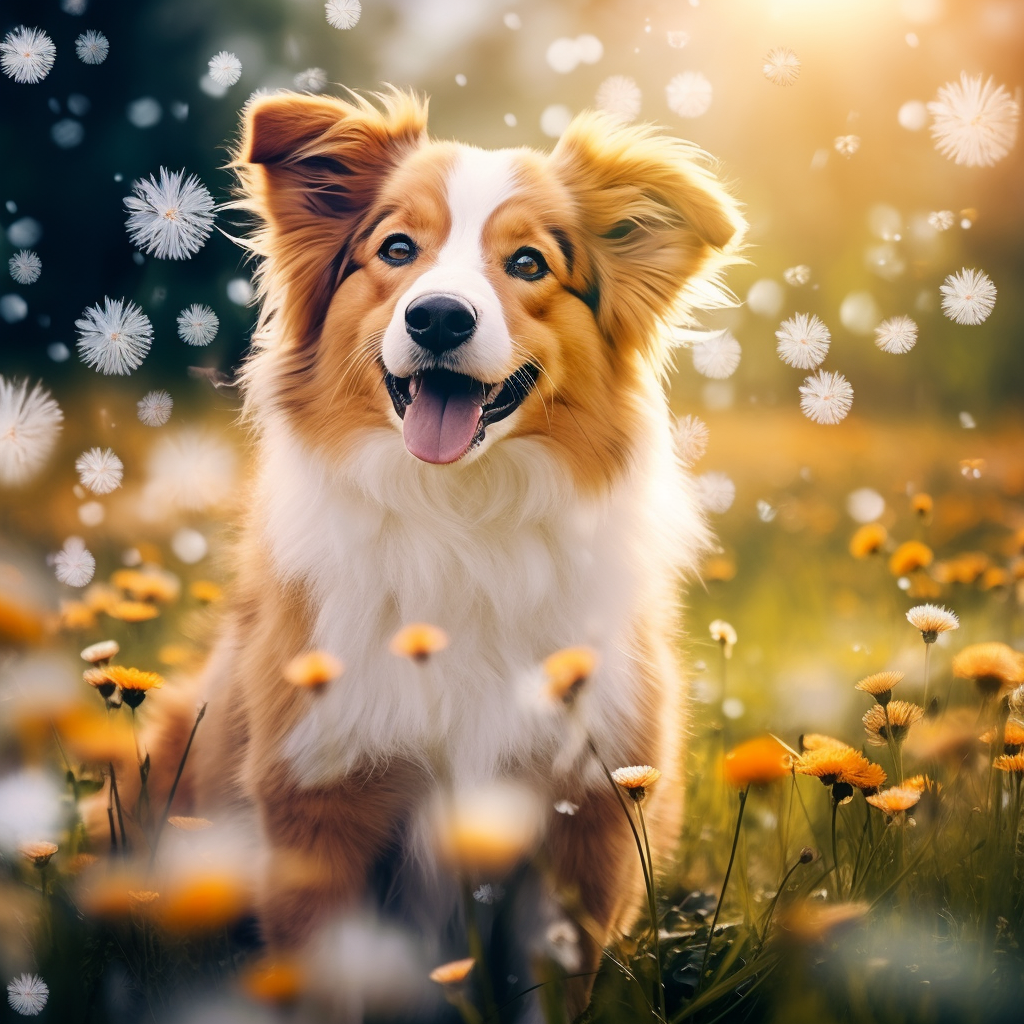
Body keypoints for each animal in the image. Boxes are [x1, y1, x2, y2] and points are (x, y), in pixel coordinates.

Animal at [148, 90, 741, 1015]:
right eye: (397, 250)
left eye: (529, 263)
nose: (437, 317)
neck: (461, 515)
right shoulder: (318, 805)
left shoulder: (582, 820)